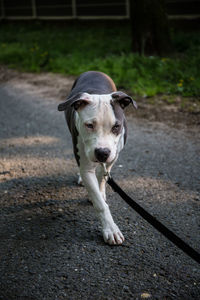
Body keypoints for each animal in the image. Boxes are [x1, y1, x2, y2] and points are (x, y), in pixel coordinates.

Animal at [57, 71, 137, 245]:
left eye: (116, 127)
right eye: (89, 125)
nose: (102, 152)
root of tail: (95, 71)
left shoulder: (113, 157)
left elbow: (102, 177)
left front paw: (101, 191)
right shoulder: (87, 165)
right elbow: (100, 204)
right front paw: (111, 229)